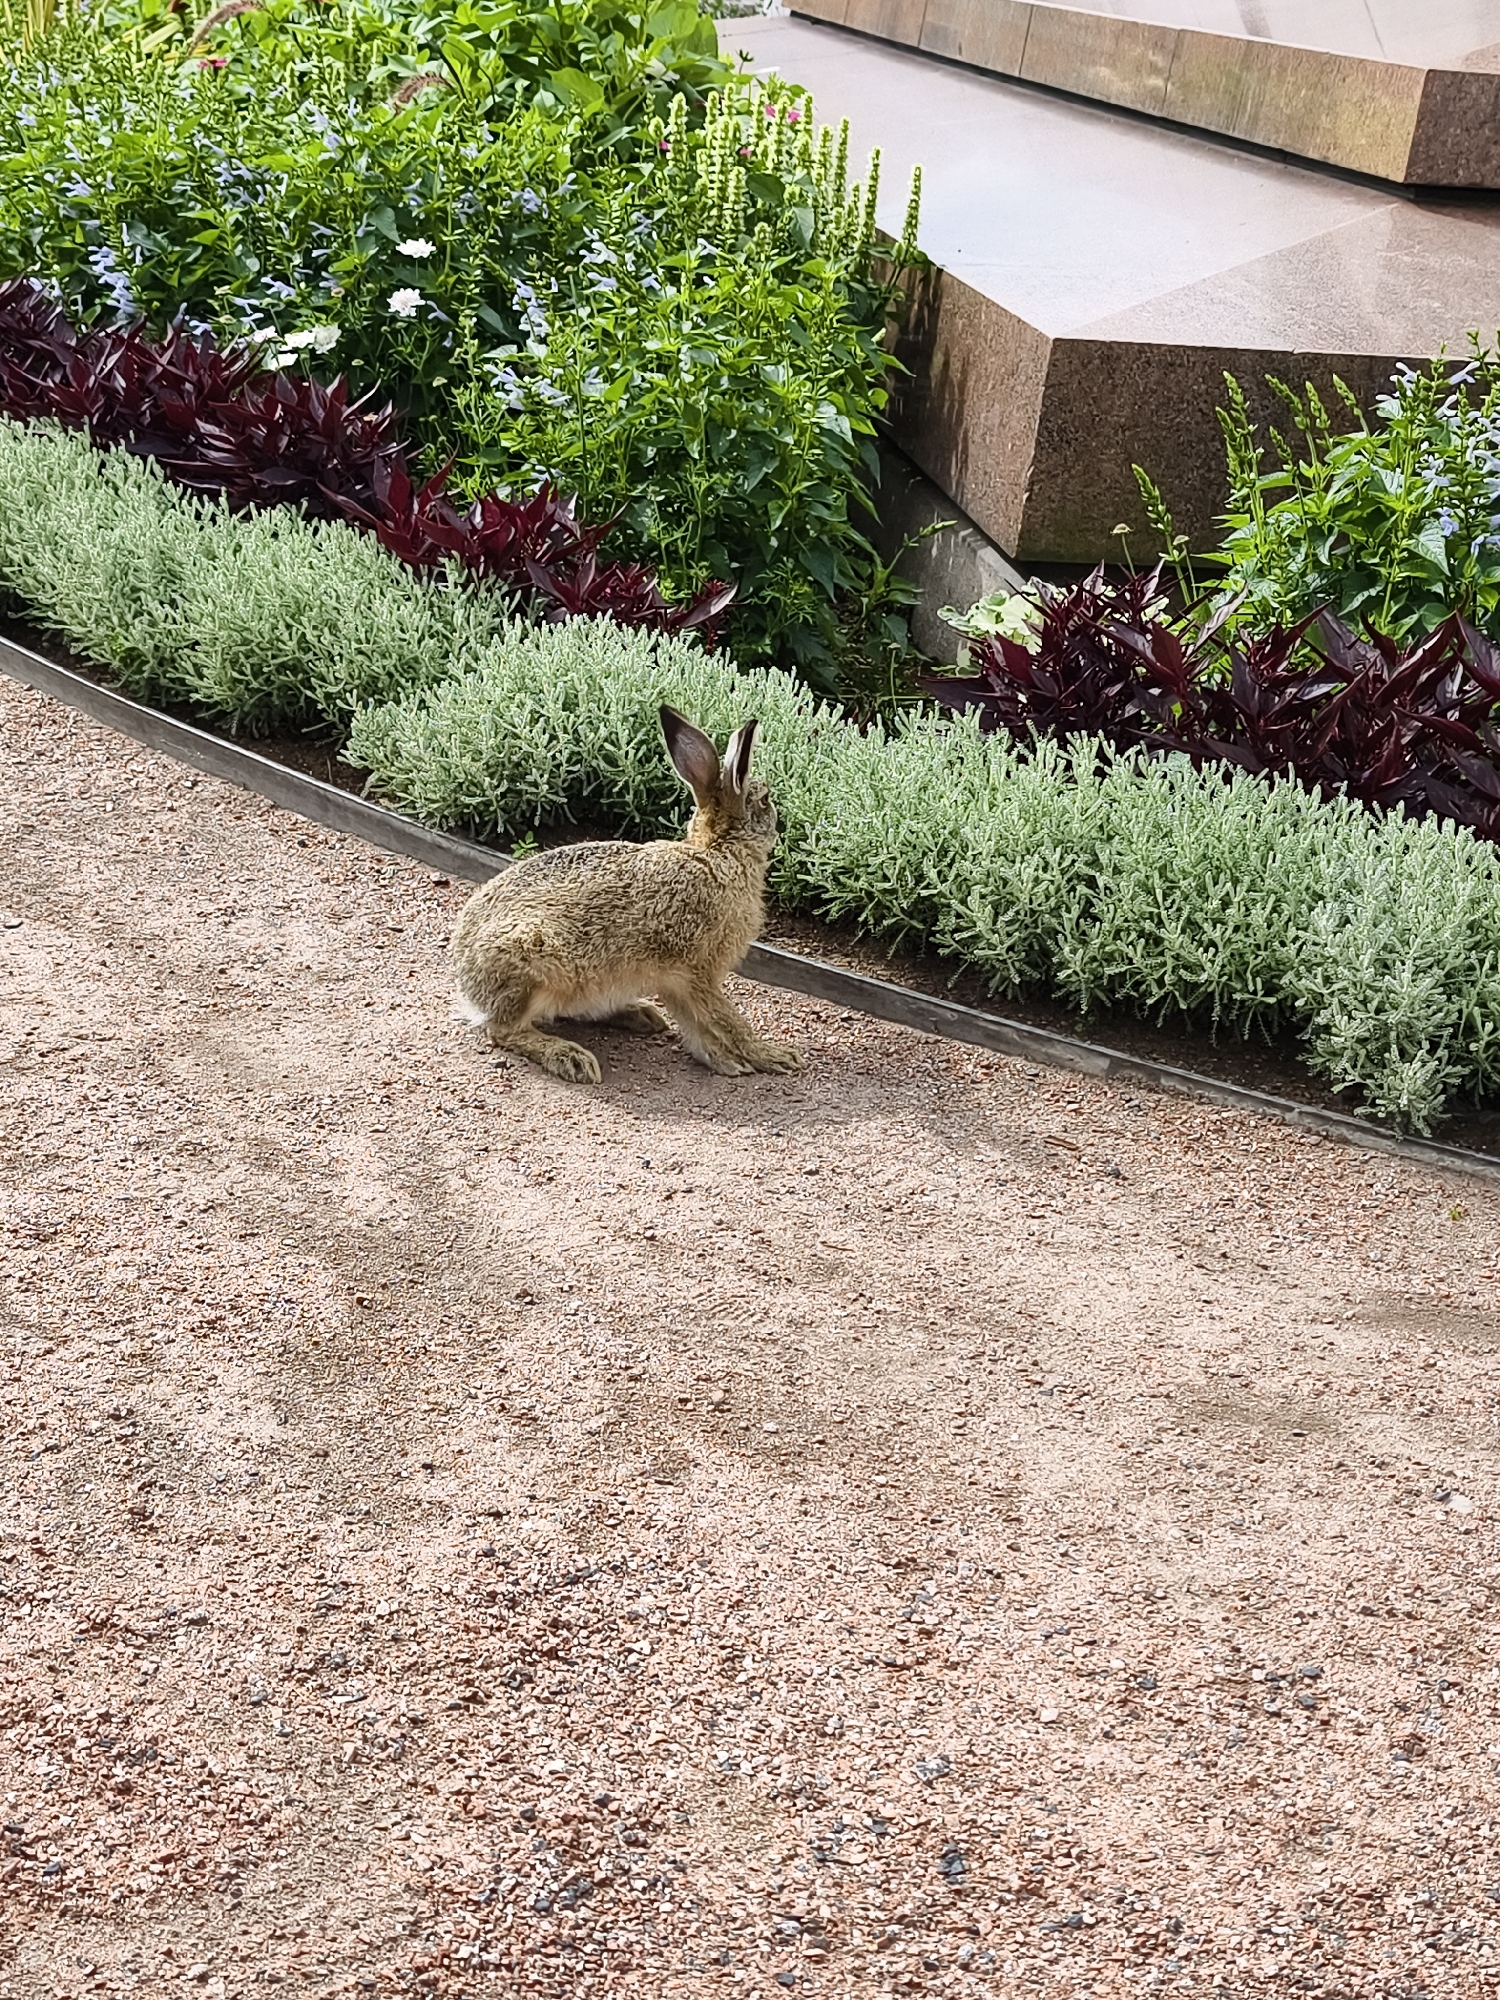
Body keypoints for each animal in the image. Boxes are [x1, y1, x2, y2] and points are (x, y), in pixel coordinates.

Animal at [450, 705, 804, 1084]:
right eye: (765, 800)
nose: (781, 824)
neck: (717, 854)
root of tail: (468, 984)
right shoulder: (695, 970)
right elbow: (726, 1019)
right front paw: (772, 1056)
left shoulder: (679, 979)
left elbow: (697, 1025)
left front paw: (723, 1060)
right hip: (536, 962)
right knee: (504, 1030)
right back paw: (572, 1058)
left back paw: (640, 1015)